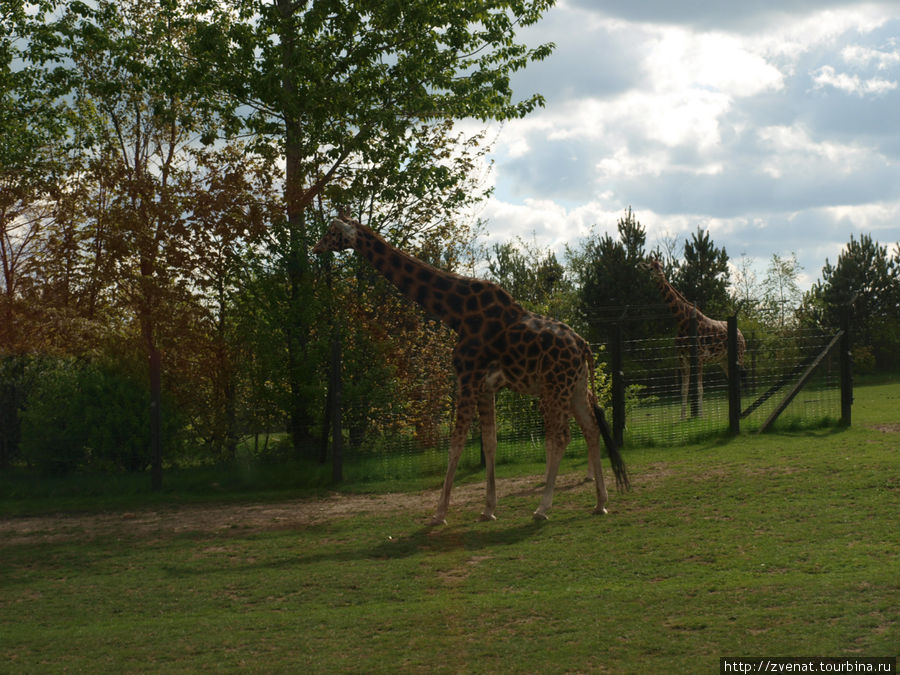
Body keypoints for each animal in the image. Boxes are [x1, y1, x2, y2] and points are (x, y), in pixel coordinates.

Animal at [312, 214, 628, 524]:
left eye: (332, 231)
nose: (316, 247)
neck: (457, 313)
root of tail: (583, 345)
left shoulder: (466, 377)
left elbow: (456, 442)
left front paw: (439, 513)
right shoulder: (485, 385)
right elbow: (489, 442)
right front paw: (488, 509)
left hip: (554, 388)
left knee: (560, 437)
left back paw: (542, 508)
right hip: (575, 387)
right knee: (591, 429)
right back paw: (600, 503)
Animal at [648, 258, 744, 418]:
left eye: (661, 266)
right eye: (651, 268)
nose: (661, 276)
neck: (682, 321)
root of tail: (741, 334)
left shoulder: (698, 358)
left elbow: (699, 388)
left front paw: (700, 416)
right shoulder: (682, 358)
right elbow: (684, 389)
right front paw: (682, 417)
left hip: (739, 356)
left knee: (739, 380)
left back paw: (739, 412)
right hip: (724, 360)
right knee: (733, 380)